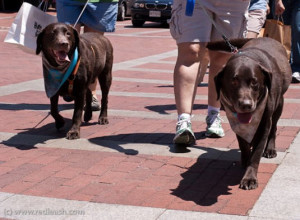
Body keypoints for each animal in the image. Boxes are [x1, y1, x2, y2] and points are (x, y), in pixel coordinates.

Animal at [207, 37, 292, 189]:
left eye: (254, 82)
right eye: (233, 81)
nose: (246, 105)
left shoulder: (264, 124)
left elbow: (256, 153)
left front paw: (249, 178)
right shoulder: (237, 124)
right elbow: (244, 145)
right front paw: (245, 160)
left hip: (279, 105)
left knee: (274, 128)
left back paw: (270, 149)